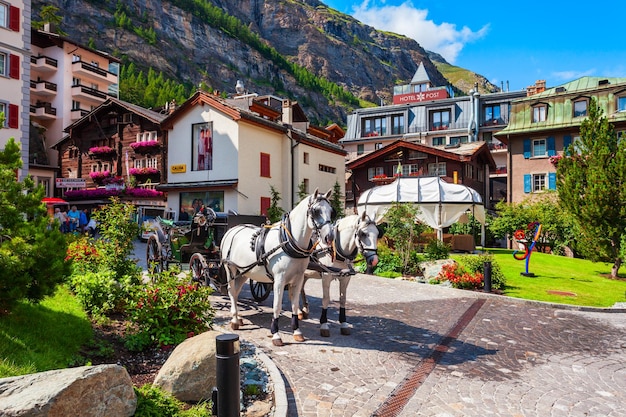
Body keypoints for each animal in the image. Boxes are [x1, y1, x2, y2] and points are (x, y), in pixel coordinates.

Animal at [217, 188, 334, 344]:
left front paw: (297, 331)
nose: (329, 237)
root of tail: (231, 230)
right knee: (231, 290)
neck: (288, 241)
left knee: (236, 292)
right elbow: (277, 306)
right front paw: (276, 334)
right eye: (315, 211)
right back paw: (235, 319)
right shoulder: (279, 280)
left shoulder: (298, 279)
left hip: (244, 272)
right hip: (231, 269)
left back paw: (238, 318)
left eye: (331, 211)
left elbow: (295, 305)